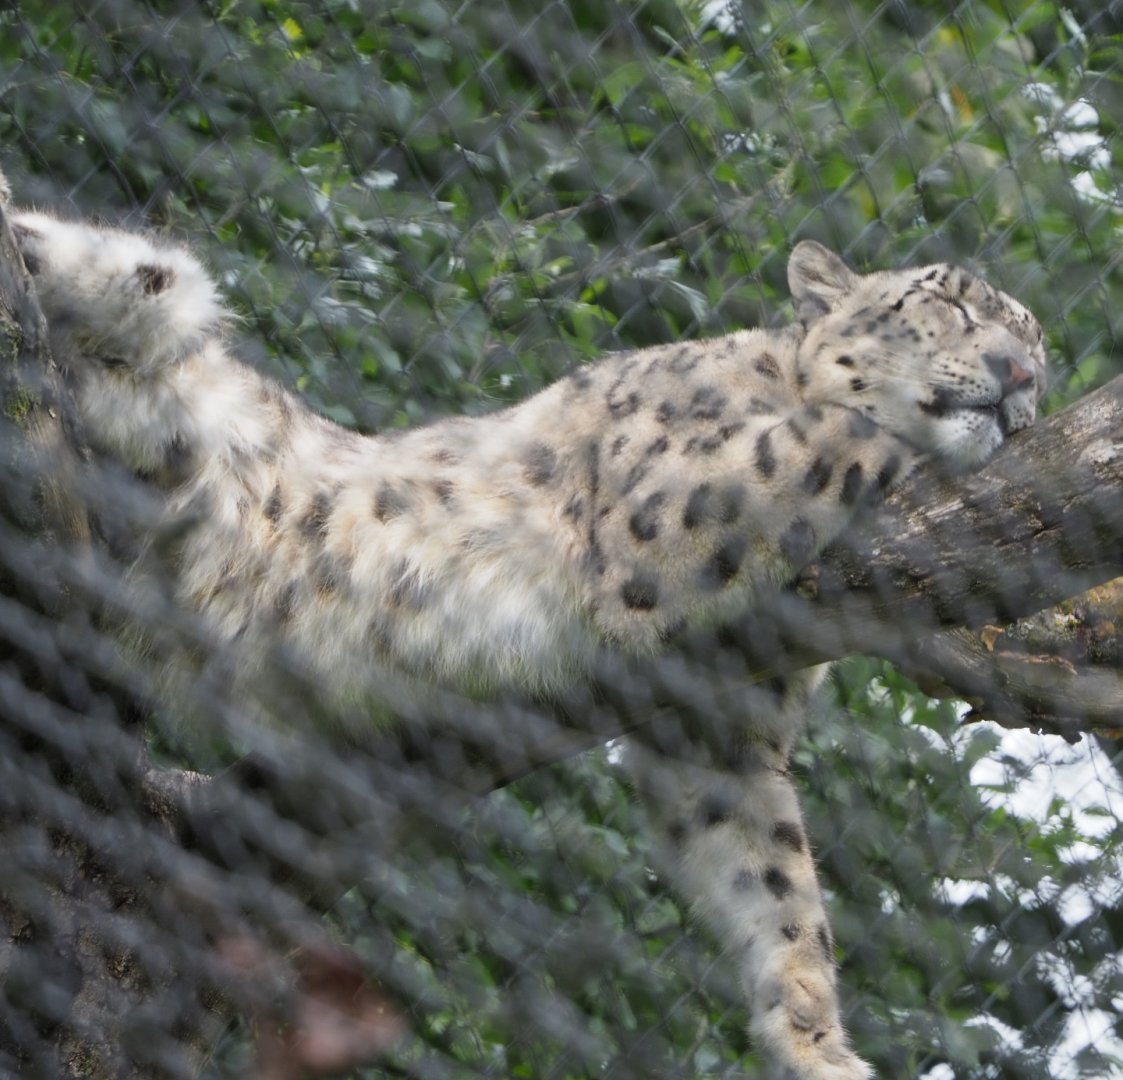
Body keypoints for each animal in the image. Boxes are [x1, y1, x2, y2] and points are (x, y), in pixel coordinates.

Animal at [3, 176, 1046, 1079]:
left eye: (1032, 338)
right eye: (949, 306)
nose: (1021, 375)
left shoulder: (722, 730)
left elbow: (777, 884)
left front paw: (815, 1044)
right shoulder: (660, 512)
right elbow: (830, 438)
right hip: (157, 292)